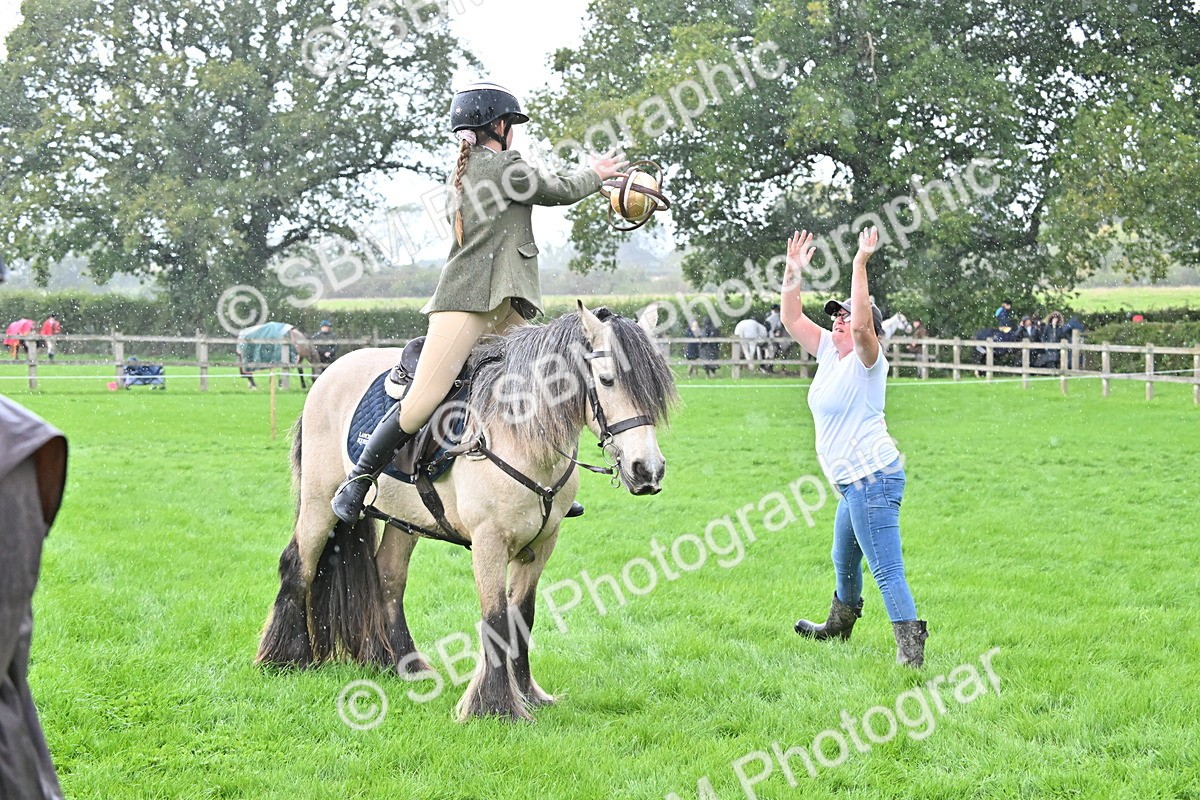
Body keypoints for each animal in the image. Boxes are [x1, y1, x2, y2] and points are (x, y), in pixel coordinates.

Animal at [255, 303, 678, 721]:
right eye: (606, 380)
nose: (647, 470)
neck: (518, 434)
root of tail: (329, 373)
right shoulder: (489, 542)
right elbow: (495, 618)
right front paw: (495, 706)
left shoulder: (542, 543)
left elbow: (522, 616)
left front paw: (528, 695)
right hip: (319, 502)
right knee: (299, 564)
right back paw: (286, 657)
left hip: (404, 522)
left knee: (388, 578)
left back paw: (401, 664)